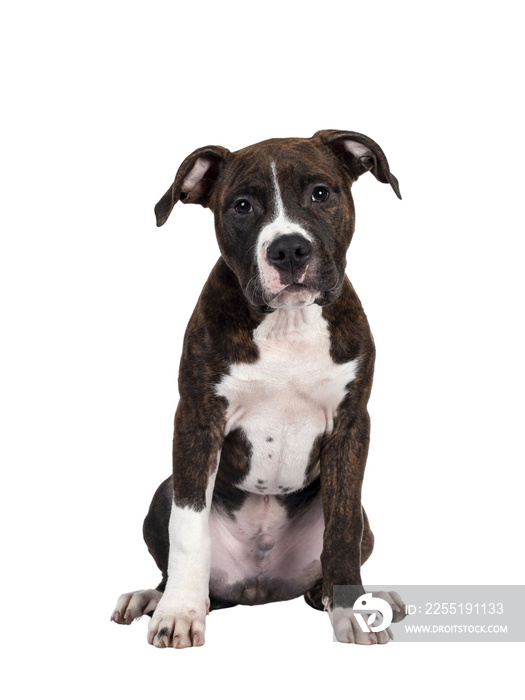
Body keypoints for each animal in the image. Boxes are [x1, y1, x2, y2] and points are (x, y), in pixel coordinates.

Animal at [111, 130, 402, 644]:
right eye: (242, 206)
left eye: (320, 193)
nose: (288, 250)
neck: (287, 323)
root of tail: (259, 589)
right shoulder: (197, 419)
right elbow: (189, 530)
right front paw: (180, 613)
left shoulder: (353, 425)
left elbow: (342, 528)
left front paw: (351, 610)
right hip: (162, 493)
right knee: (175, 557)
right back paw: (152, 598)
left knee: (329, 563)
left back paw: (361, 597)